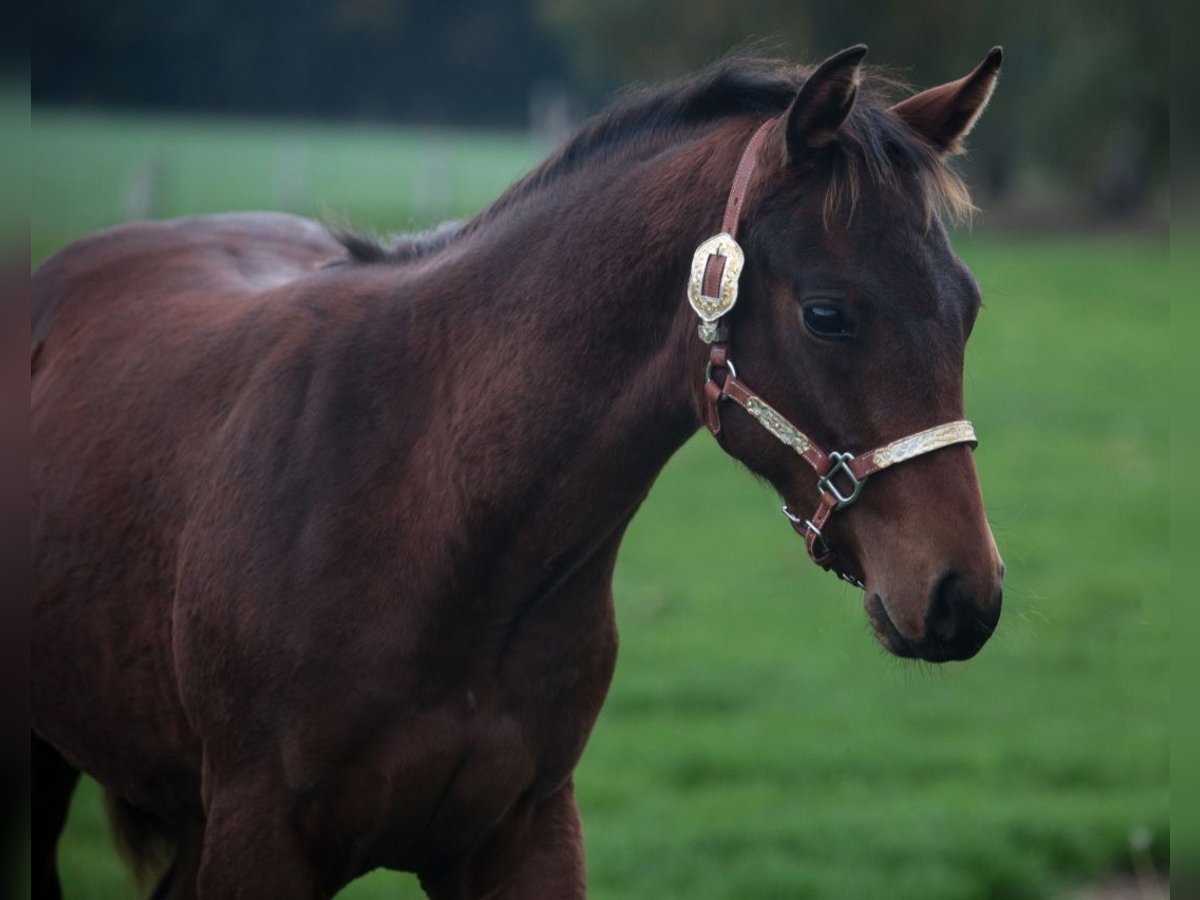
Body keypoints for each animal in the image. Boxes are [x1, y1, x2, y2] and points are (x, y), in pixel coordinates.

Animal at [32, 45, 1005, 898]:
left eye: (968, 308)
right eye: (827, 314)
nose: (966, 595)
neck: (431, 516)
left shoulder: (525, 832)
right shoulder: (259, 838)